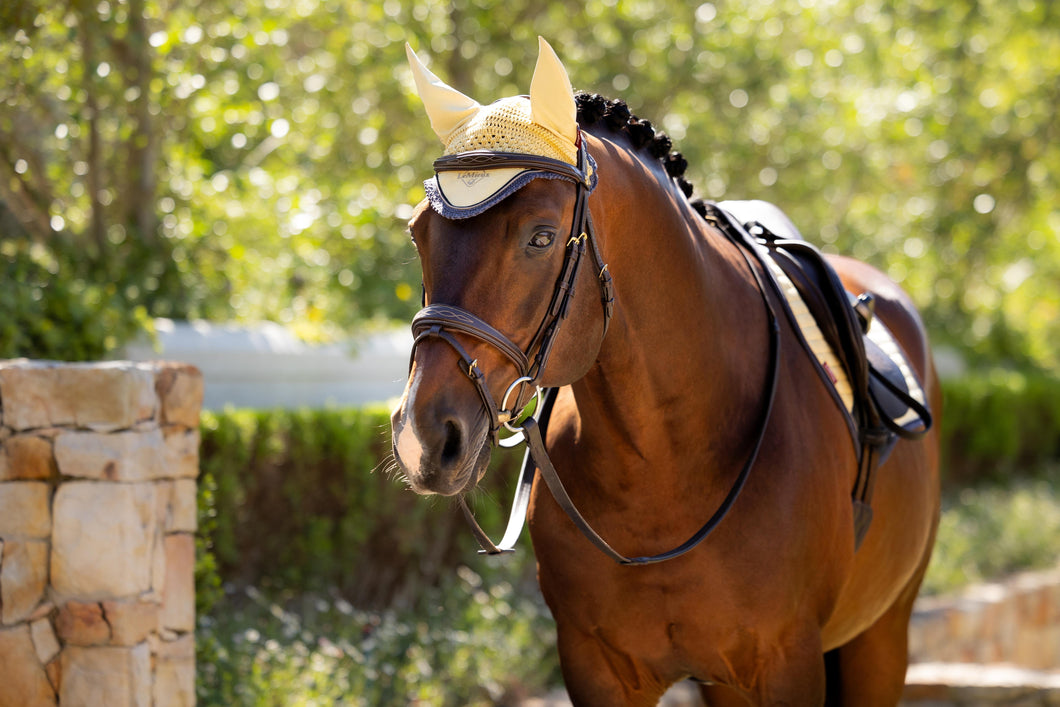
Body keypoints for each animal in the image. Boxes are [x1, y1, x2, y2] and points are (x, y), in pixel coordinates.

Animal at [394, 40, 941, 707]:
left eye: (541, 237)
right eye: (418, 233)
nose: (423, 438)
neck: (666, 460)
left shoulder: (788, 663)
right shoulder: (599, 668)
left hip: (881, 636)